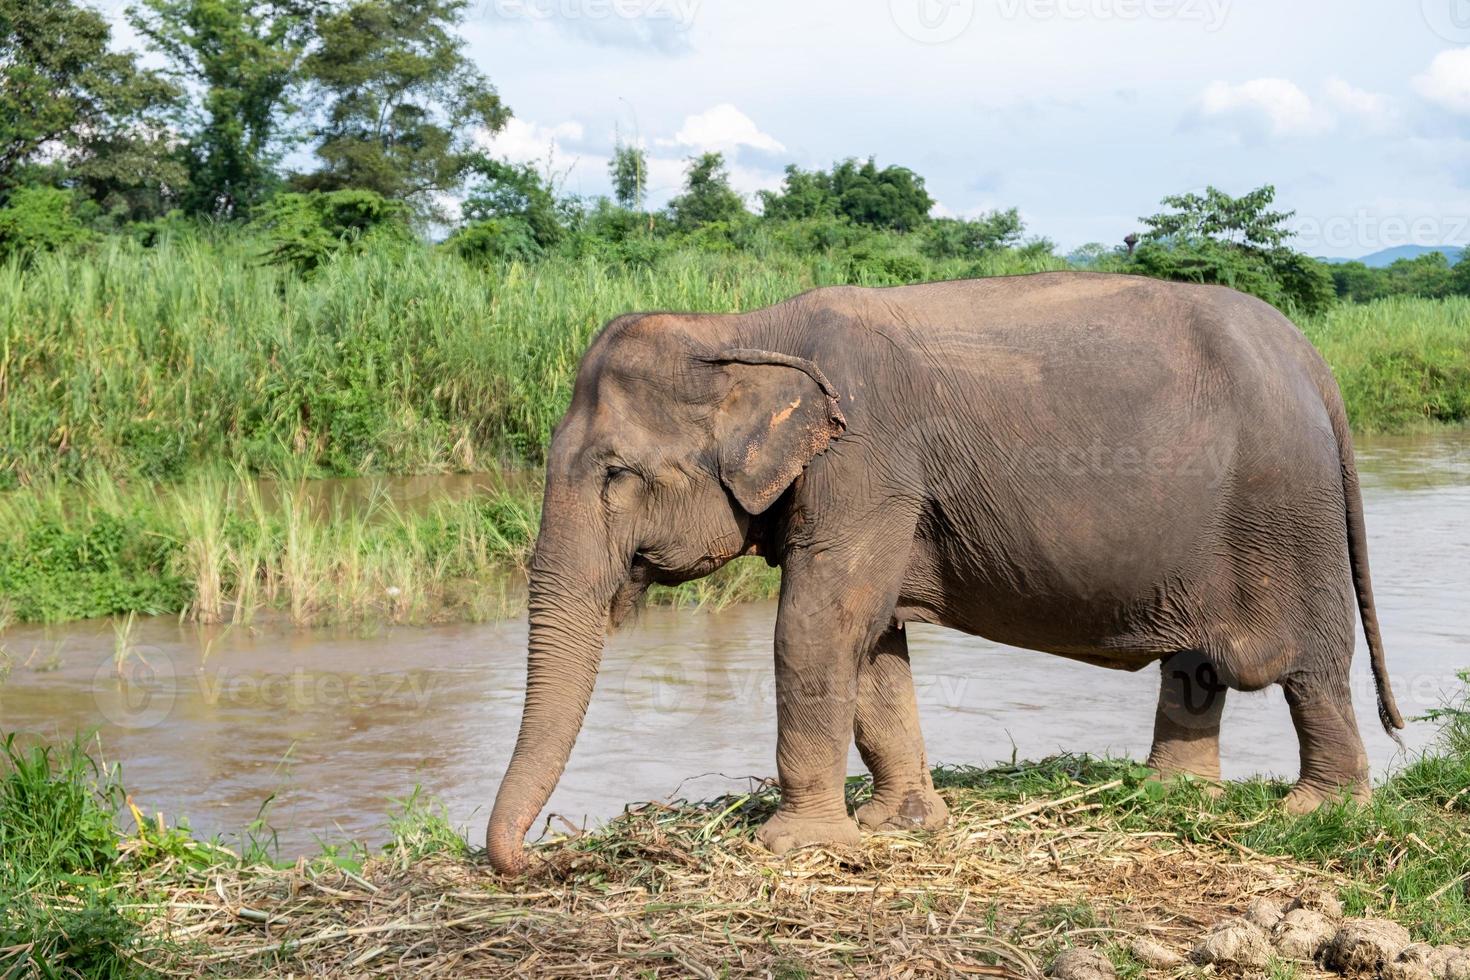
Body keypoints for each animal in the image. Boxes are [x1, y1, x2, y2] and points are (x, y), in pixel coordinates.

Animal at [482, 271, 1399, 875]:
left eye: (614, 473)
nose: (545, 859)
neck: (745, 328)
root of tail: (1313, 361)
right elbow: (874, 643)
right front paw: (902, 826)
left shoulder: (866, 460)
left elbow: (817, 626)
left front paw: (795, 847)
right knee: (1199, 669)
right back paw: (1172, 798)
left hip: (1287, 514)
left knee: (1310, 669)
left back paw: (1316, 809)